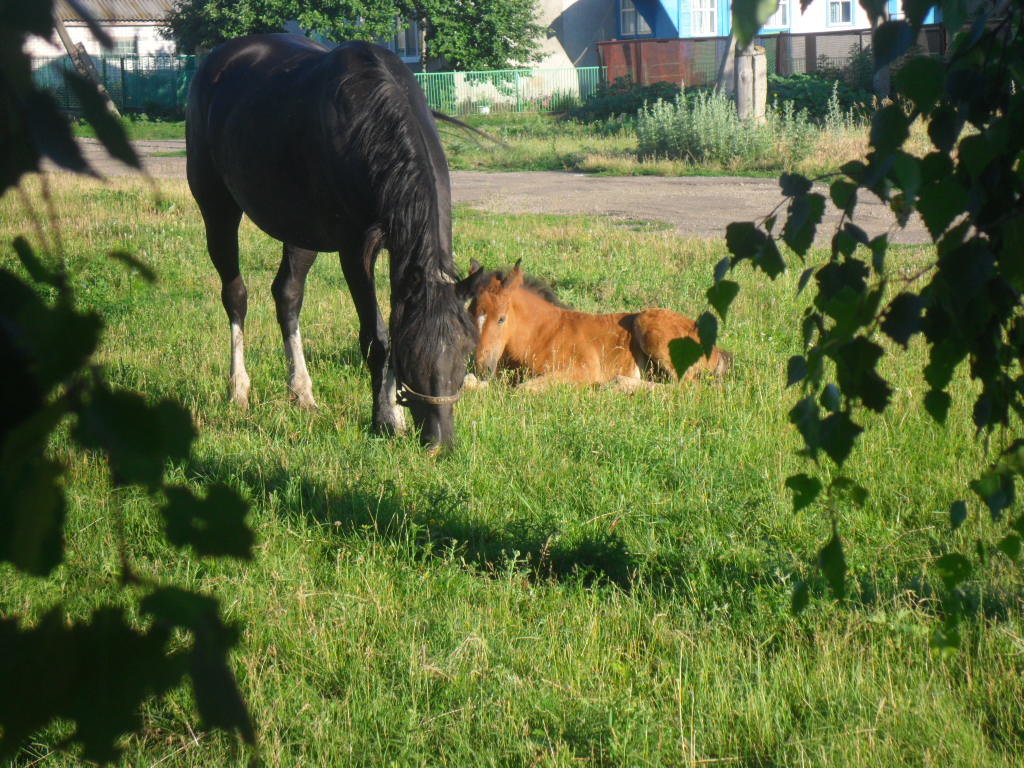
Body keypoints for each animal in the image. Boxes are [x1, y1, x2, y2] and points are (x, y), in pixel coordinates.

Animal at [187, 33, 475, 448]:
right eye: (412, 353)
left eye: (467, 350)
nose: (440, 442)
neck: (371, 124)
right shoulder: (354, 249)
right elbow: (376, 338)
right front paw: (384, 421)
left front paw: (395, 415)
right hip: (217, 207)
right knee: (235, 295)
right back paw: (238, 390)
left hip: (300, 229)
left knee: (287, 295)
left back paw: (302, 393)